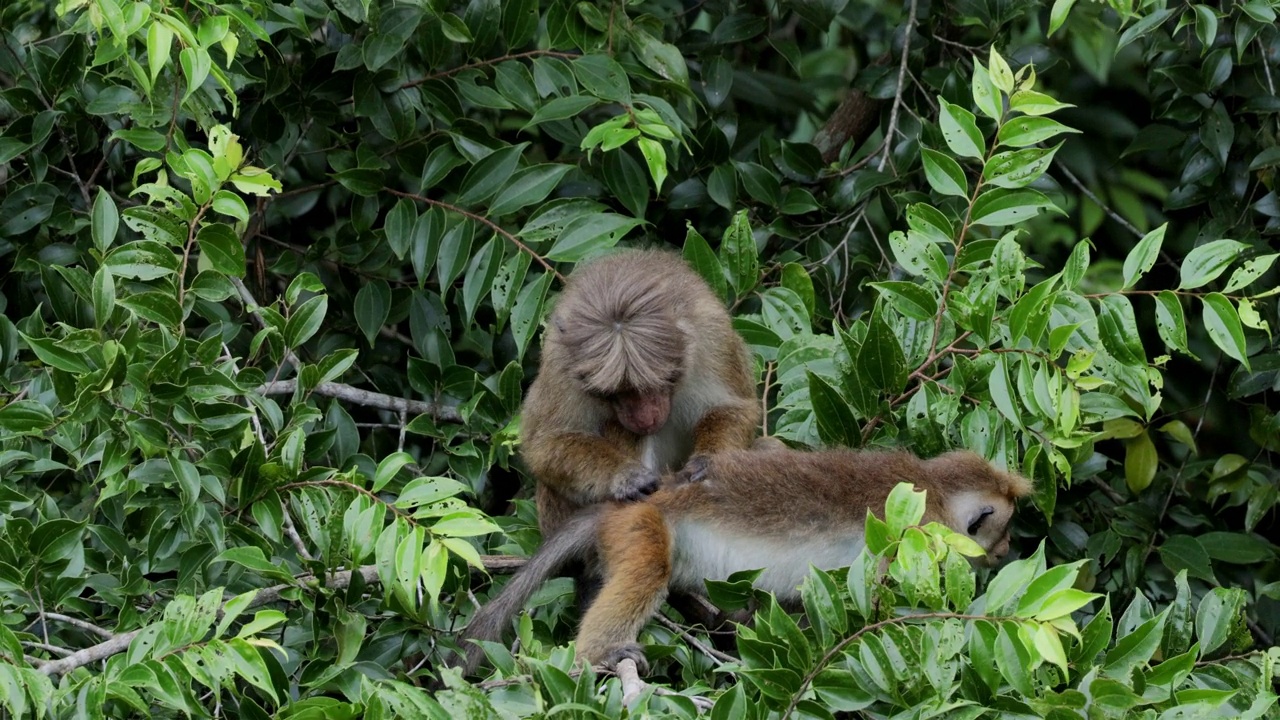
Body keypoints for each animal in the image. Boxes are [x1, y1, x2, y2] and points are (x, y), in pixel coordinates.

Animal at [455, 445, 1034, 676]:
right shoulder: (915, 535)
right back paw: (596, 653)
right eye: (1002, 527)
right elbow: (881, 607)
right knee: (647, 571)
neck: (937, 491)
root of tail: (636, 500)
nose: (1007, 550)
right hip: (643, 528)